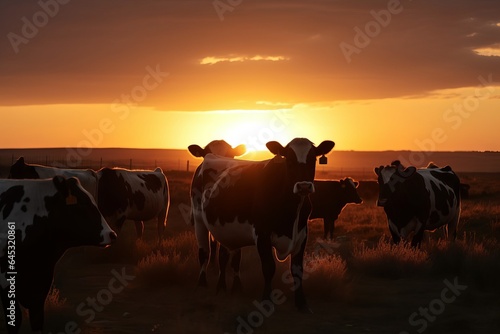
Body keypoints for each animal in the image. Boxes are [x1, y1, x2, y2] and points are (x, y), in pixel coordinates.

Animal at [0, 176, 115, 332]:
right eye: (82, 203)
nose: (112, 234)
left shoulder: (41, 287)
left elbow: (37, 321)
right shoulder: (5, 283)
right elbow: (15, 320)